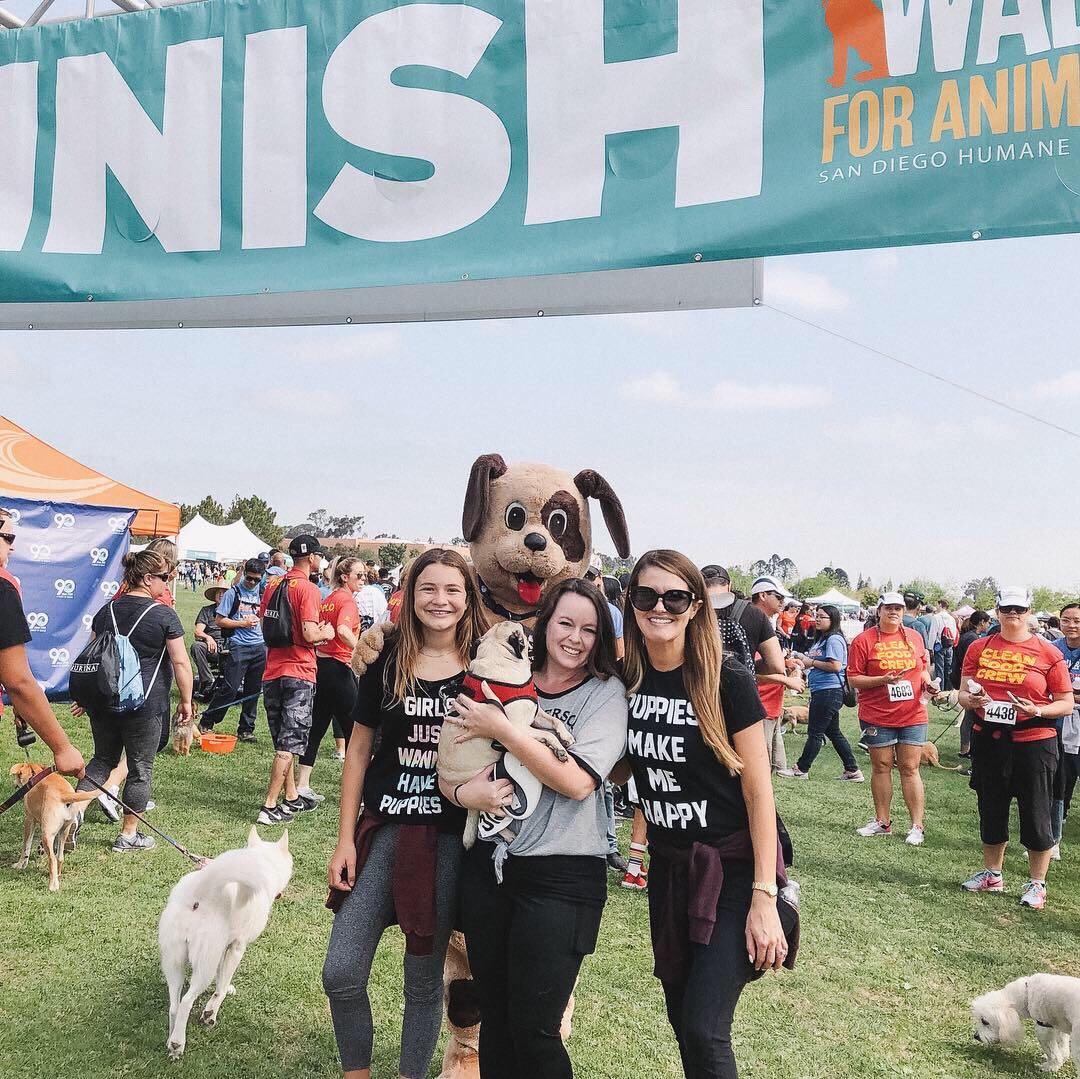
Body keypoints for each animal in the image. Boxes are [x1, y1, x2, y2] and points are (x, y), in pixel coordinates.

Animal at [157, 829, 293, 1058]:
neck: (263, 860)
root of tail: (198, 892)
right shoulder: (237, 947)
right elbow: (220, 987)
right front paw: (211, 1013)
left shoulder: (224, 949)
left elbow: (221, 978)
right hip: (204, 966)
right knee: (185, 1002)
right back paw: (178, 1043)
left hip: (174, 963)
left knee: (174, 1006)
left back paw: (171, 1042)